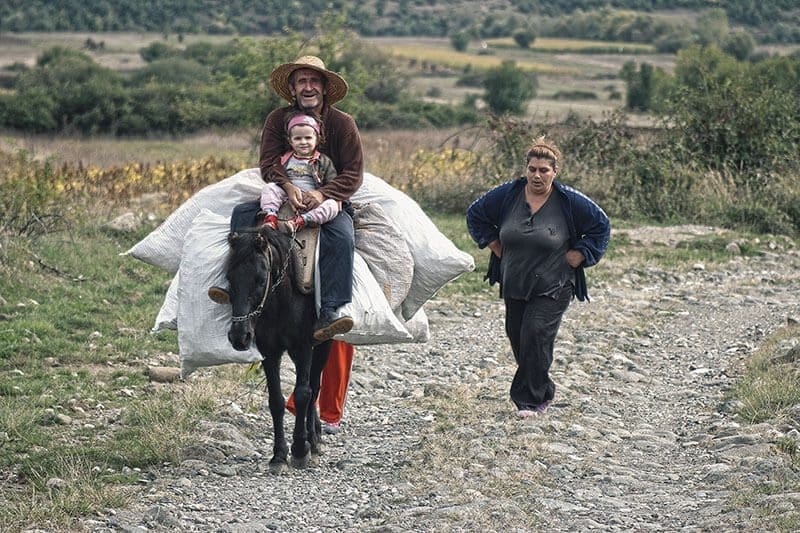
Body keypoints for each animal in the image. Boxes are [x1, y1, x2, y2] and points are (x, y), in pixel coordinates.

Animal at [223, 223, 330, 470]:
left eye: (261, 279)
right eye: (229, 278)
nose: (240, 337)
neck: (282, 303)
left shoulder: (303, 347)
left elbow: (302, 394)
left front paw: (300, 449)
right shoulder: (269, 352)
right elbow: (276, 400)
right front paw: (279, 455)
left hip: (325, 343)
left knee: (314, 387)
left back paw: (313, 440)